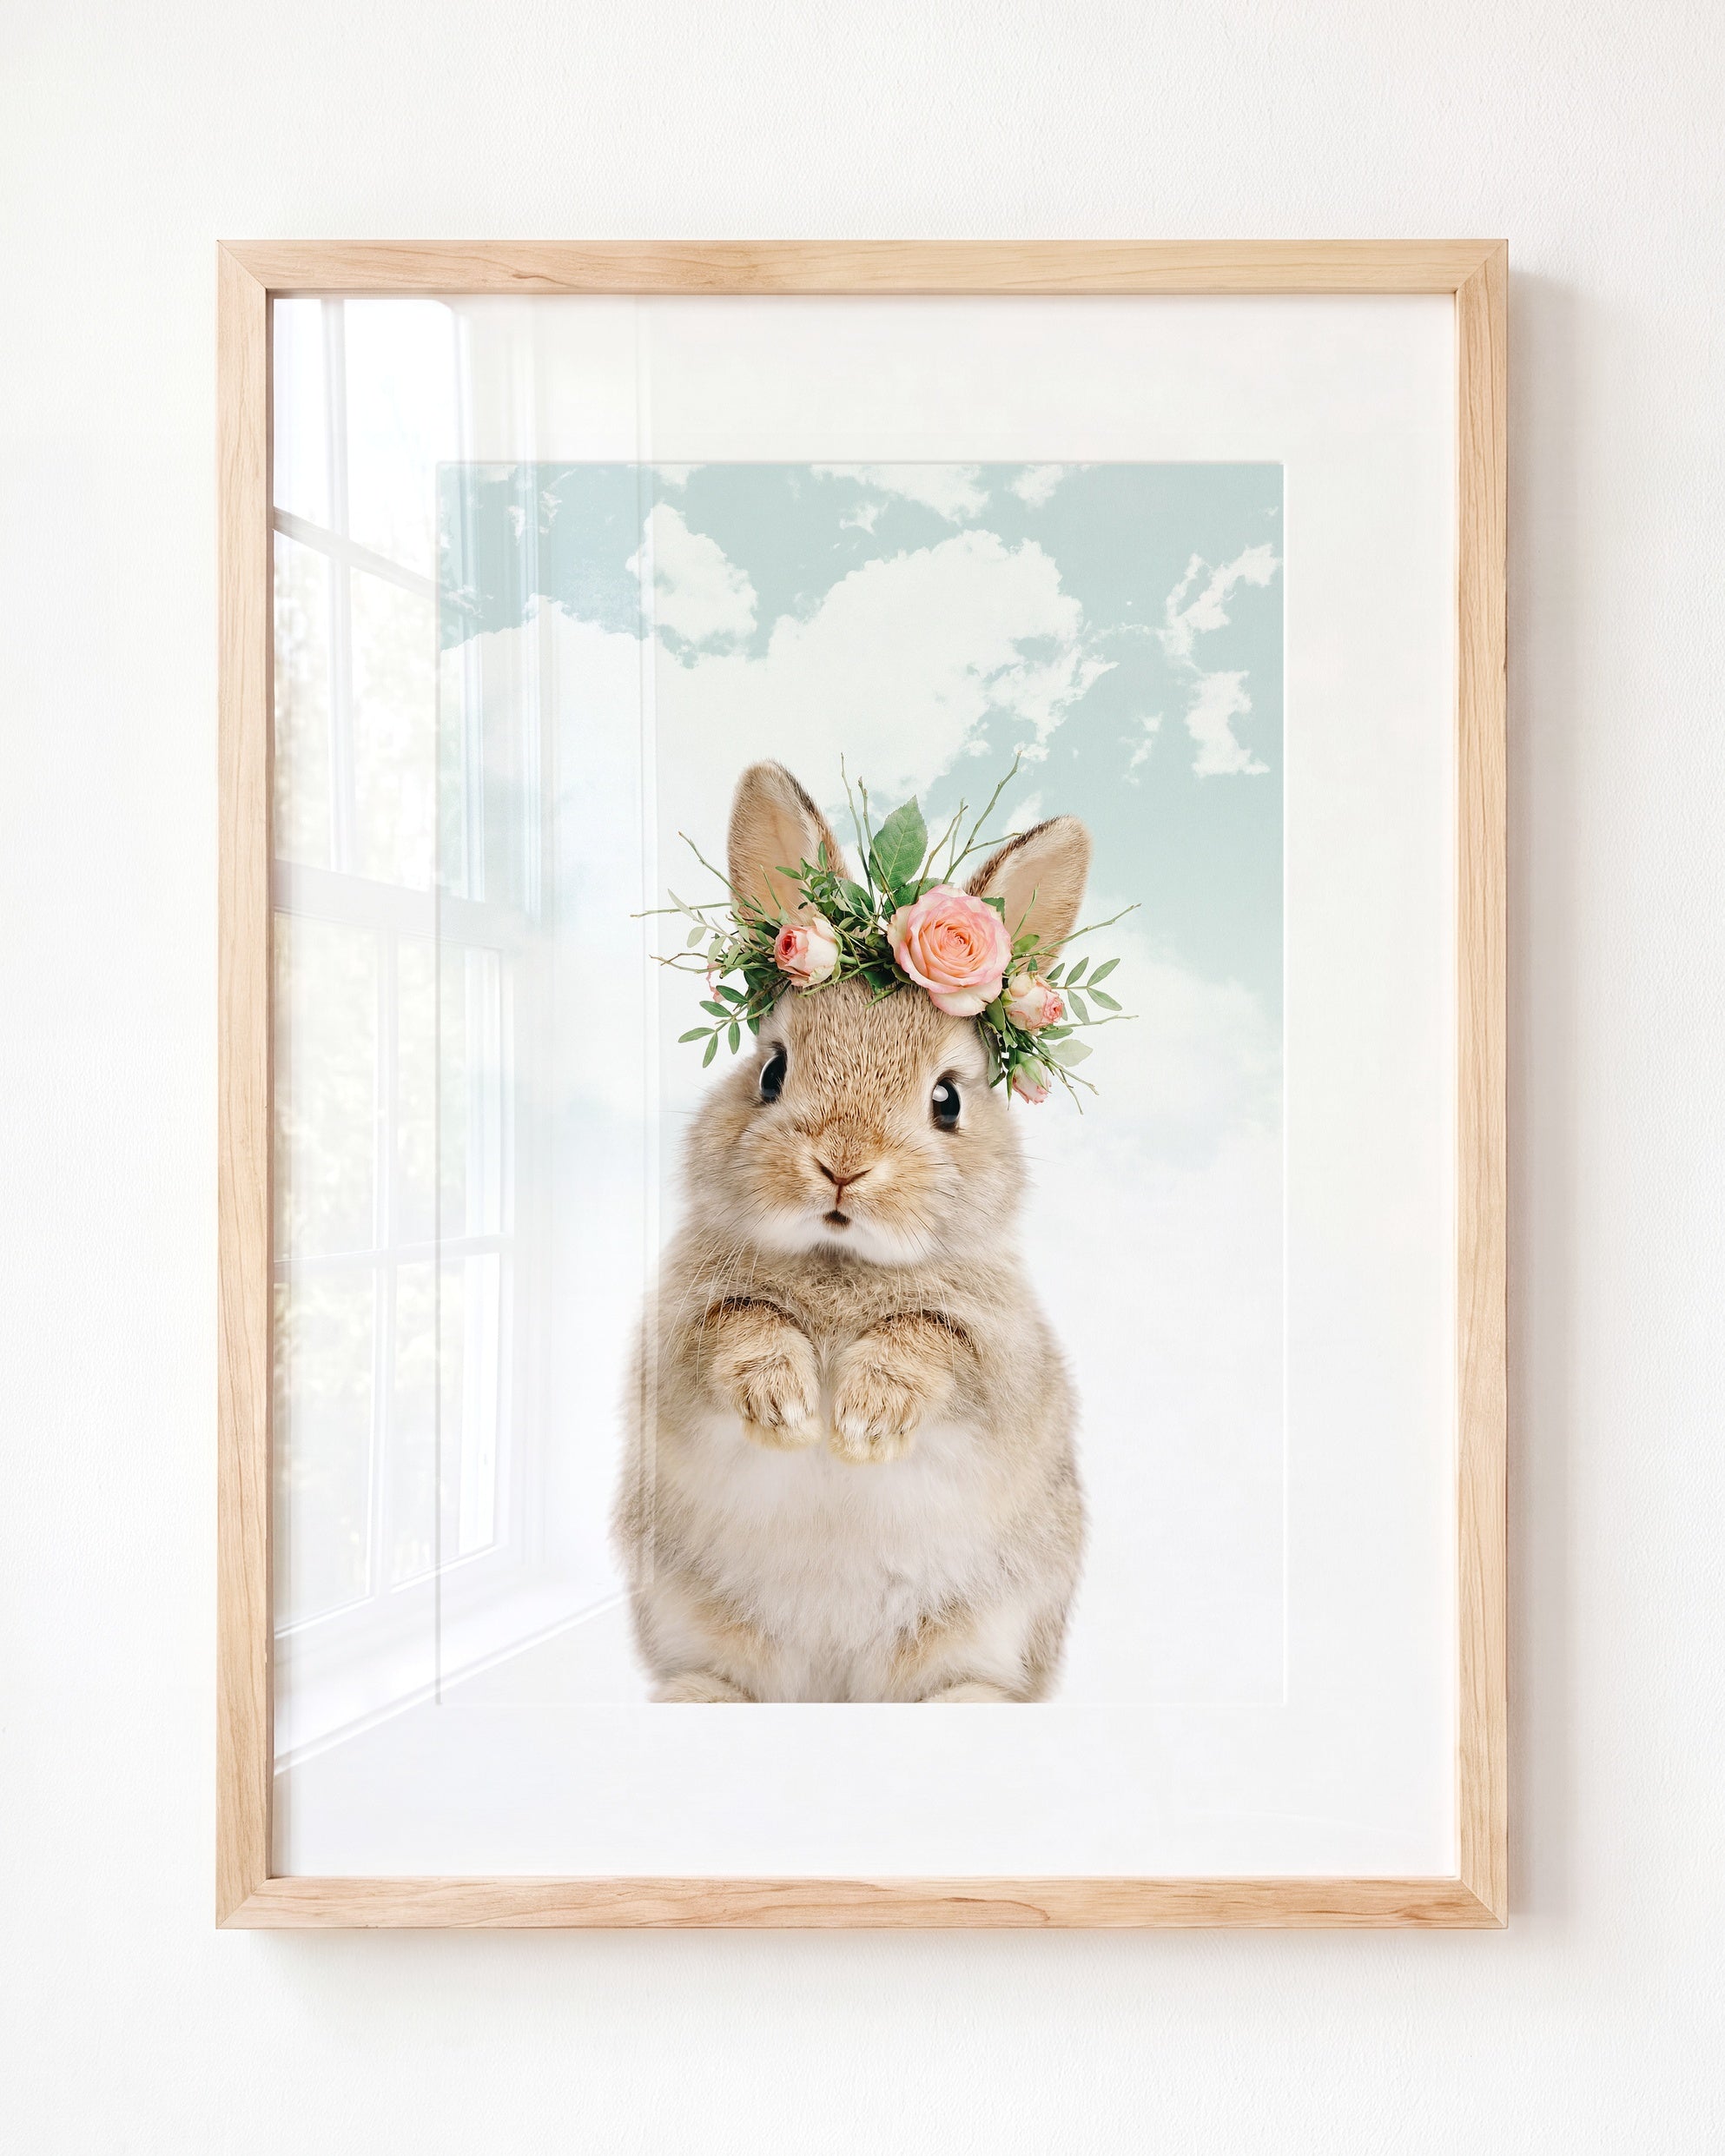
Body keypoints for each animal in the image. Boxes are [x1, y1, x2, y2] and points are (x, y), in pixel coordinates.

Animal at [613, 760, 1088, 1702]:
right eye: (771, 1071)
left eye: (947, 1099)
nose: (842, 1164)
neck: (840, 1261)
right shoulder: (679, 1337)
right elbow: (741, 1326)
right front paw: (788, 1408)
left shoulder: (1002, 1357)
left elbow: (931, 1340)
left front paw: (864, 1420)